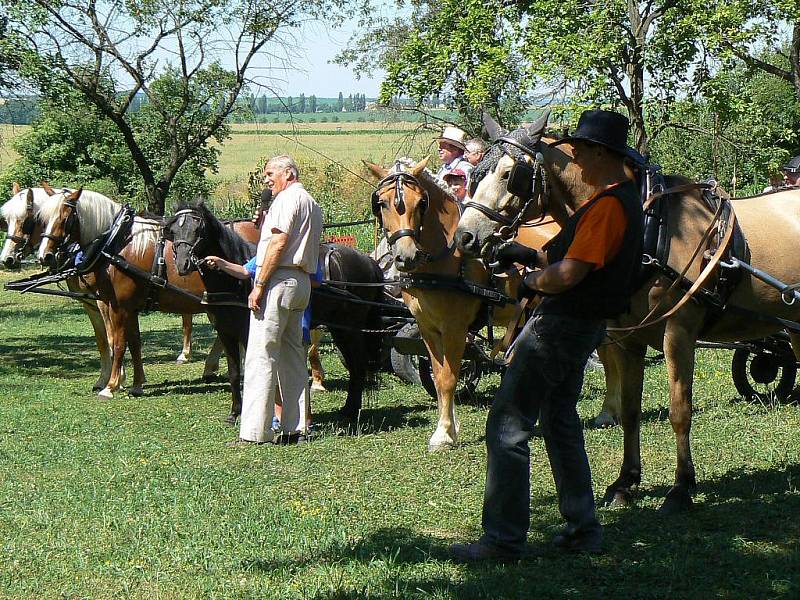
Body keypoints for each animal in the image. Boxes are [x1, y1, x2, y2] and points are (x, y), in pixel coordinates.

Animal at [362, 159, 556, 450]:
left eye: (421, 203)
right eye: (381, 203)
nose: (406, 256)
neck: (446, 258)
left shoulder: (454, 327)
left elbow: (448, 377)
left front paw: (443, 433)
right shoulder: (428, 328)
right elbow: (439, 373)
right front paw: (450, 426)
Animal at [460, 113, 800, 516]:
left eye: (511, 174)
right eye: (475, 173)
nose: (464, 237)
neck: (649, 226)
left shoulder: (678, 332)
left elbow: (679, 410)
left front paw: (681, 487)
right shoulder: (628, 339)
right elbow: (630, 410)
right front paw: (626, 483)